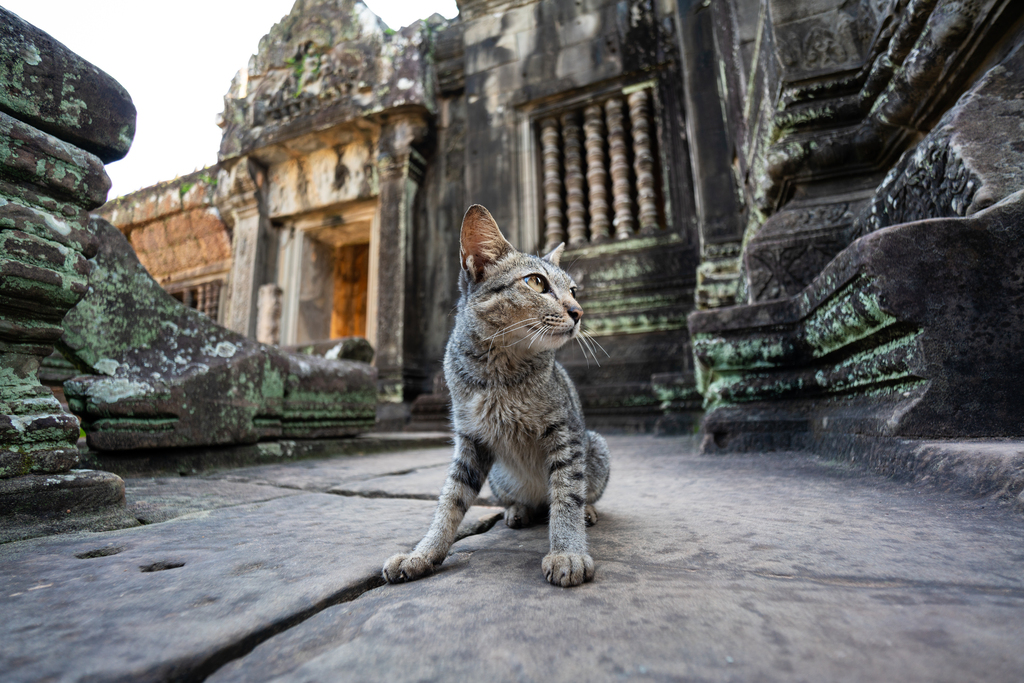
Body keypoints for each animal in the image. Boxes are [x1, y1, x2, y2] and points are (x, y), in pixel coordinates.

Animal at [382, 202, 606, 589]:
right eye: (536, 282)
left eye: (574, 290)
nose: (578, 312)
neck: (499, 372)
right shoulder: (471, 440)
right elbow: (450, 501)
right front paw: (422, 554)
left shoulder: (566, 434)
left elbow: (567, 494)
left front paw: (568, 552)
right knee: (522, 502)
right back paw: (518, 510)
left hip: (596, 446)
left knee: (575, 494)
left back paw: (586, 511)